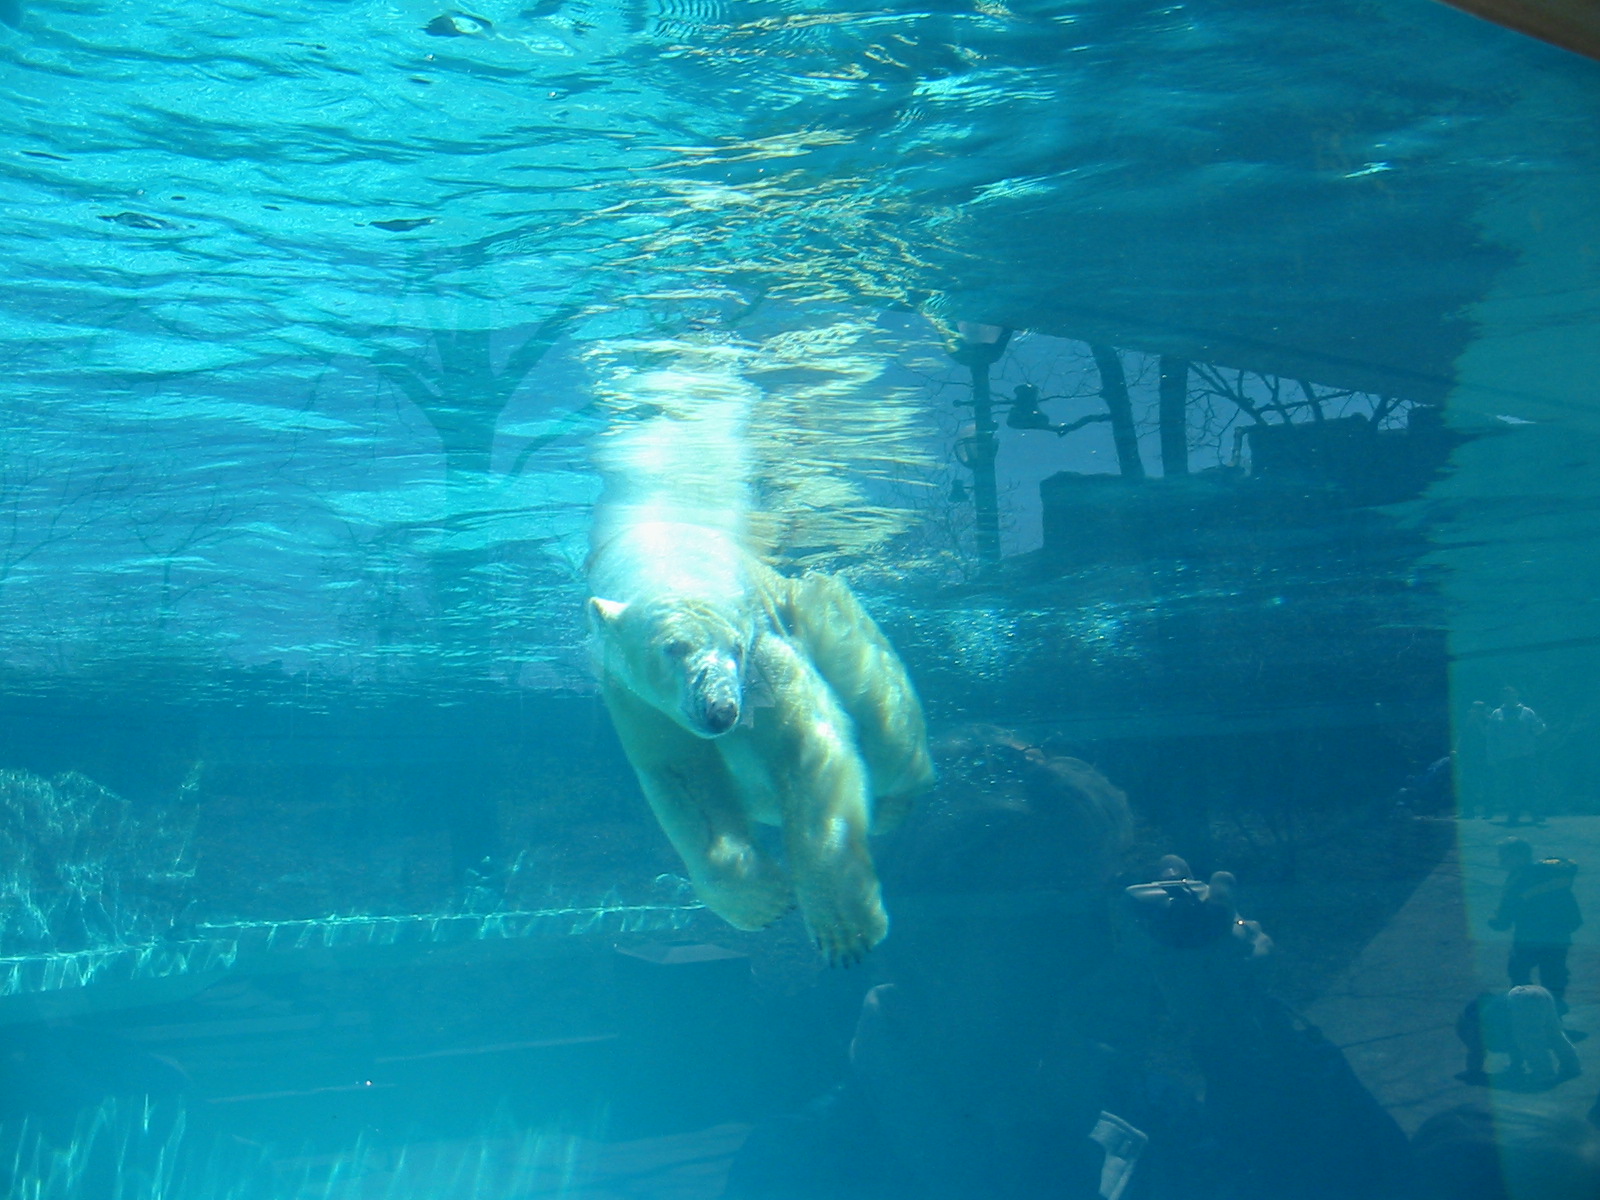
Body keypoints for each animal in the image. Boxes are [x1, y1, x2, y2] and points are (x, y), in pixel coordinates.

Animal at [587, 531, 934, 966]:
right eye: (674, 647)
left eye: (736, 647)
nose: (721, 710)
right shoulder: (633, 696)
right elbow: (682, 777)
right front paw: (764, 901)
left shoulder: (763, 659)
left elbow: (805, 743)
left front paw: (843, 927)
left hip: (828, 621)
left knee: (885, 725)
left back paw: (890, 804)